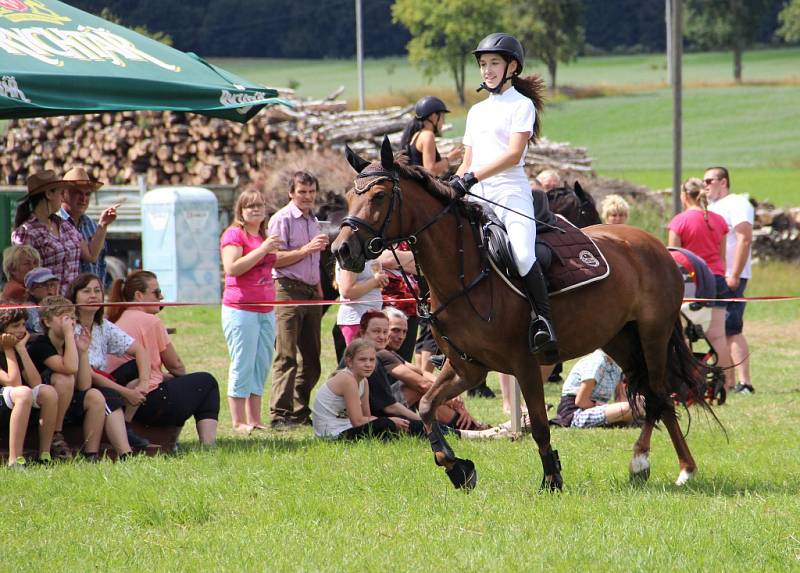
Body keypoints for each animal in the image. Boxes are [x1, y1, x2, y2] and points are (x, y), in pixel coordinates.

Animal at [328, 136, 716, 490]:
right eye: (348, 196)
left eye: (379, 196)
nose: (341, 250)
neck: (465, 274)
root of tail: (654, 244)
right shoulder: (467, 367)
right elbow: (425, 406)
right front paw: (457, 468)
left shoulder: (525, 364)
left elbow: (540, 425)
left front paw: (552, 478)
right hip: (619, 339)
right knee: (653, 394)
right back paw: (664, 464)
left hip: (653, 333)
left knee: (658, 393)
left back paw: (664, 464)